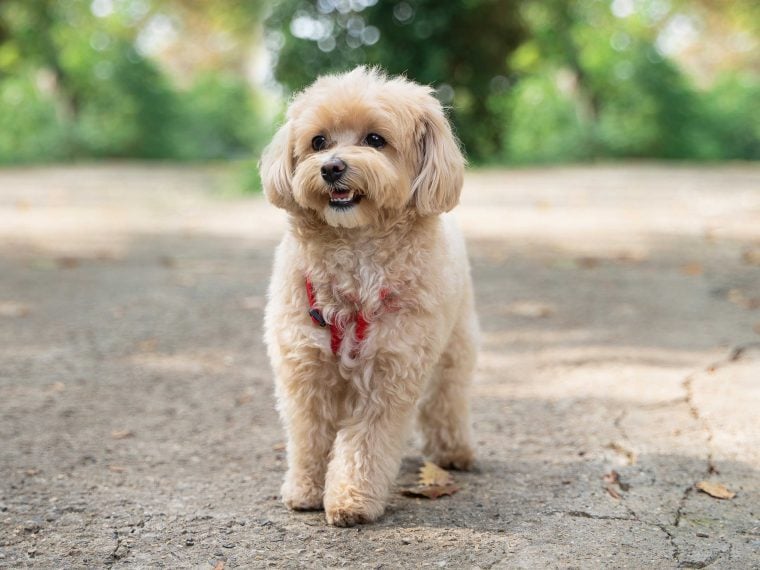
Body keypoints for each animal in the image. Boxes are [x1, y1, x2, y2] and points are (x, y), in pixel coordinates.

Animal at [258, 65, 478, 524]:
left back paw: (453, 451)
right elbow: (309, 435)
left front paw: (351, 499)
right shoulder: (305, 369)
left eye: (375, 139)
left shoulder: (389, 372)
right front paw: (305, 489)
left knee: (447, 398)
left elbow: (365, 443)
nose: (331, 168)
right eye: (318, 141)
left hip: (456, 345)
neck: (355, 252)